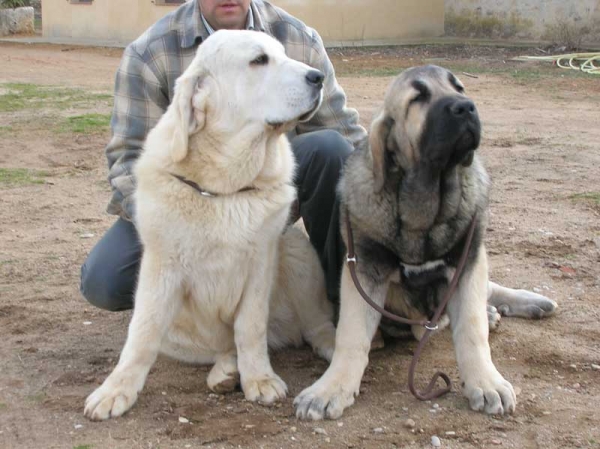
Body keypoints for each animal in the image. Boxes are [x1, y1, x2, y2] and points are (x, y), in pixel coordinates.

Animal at [85, 28, 338, 420]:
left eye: (283, 54)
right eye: (259, 60)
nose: (319, 77)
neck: (226, 188)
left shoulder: (260, 264)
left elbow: (249, 327)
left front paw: (259, 378)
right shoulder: (161, 271)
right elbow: (142, 335)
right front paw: (115, 390)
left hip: (297, 255)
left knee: (316, 326)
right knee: (217, 347)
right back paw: (225, 372)